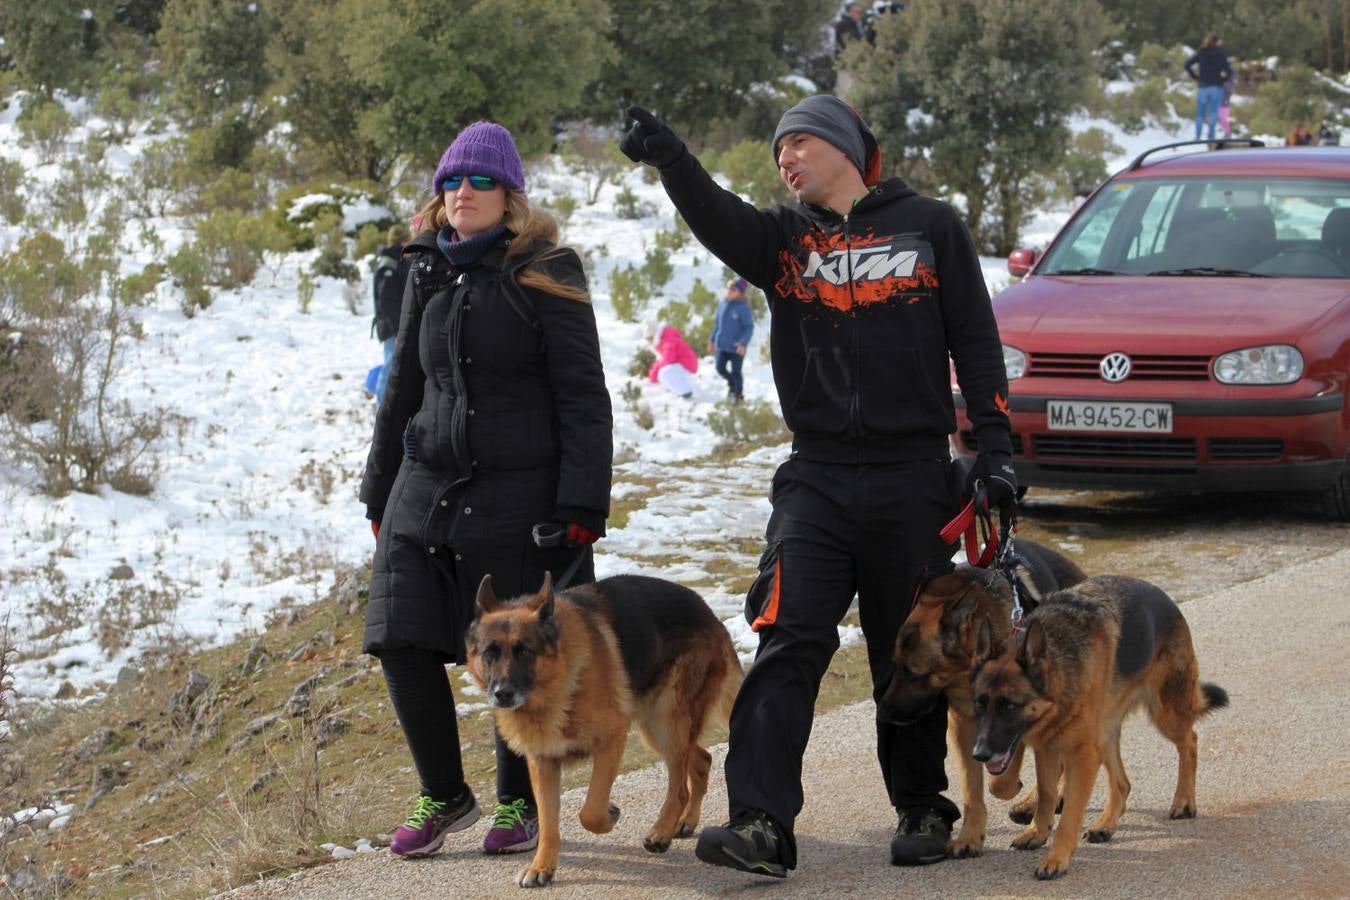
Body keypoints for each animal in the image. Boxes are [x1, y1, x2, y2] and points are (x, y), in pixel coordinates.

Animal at [467, 574, 745, 890]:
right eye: (489, 653)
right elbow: (549, 823)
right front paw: (542, 867)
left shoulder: (611, 740)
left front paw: (610, 814)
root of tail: (709, 613)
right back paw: (686, 821)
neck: (559, 681)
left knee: (679, 787)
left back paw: (661, 832)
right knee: (701, 759)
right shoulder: (543, 763)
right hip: (656, 728)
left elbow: (591, 812)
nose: (502, 694)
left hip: (667, 722)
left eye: (524, 651)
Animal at [874, 542, 1085, 858]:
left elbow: (1001, 781)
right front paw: (970, 837)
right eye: (895, 665)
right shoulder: (963, 729)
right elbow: (972, 789)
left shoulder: (1013, 723)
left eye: (913, 673)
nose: (883, 713)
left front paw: (1015, 787)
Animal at [966, 577, 1231, 879]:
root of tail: (1162, 595)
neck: (1061, 666)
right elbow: (1046, 793)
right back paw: (1106, 823)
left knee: (1190, 740)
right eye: (980, 704)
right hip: (1104, 735)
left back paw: (1184, 800)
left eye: (1009, 706)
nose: (979, 754)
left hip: (1166, 715)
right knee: (1123, 783)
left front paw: (1056, 858)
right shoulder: (1048, 747)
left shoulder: (1082, 754)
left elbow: (1070, 814)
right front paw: (1038, 831)